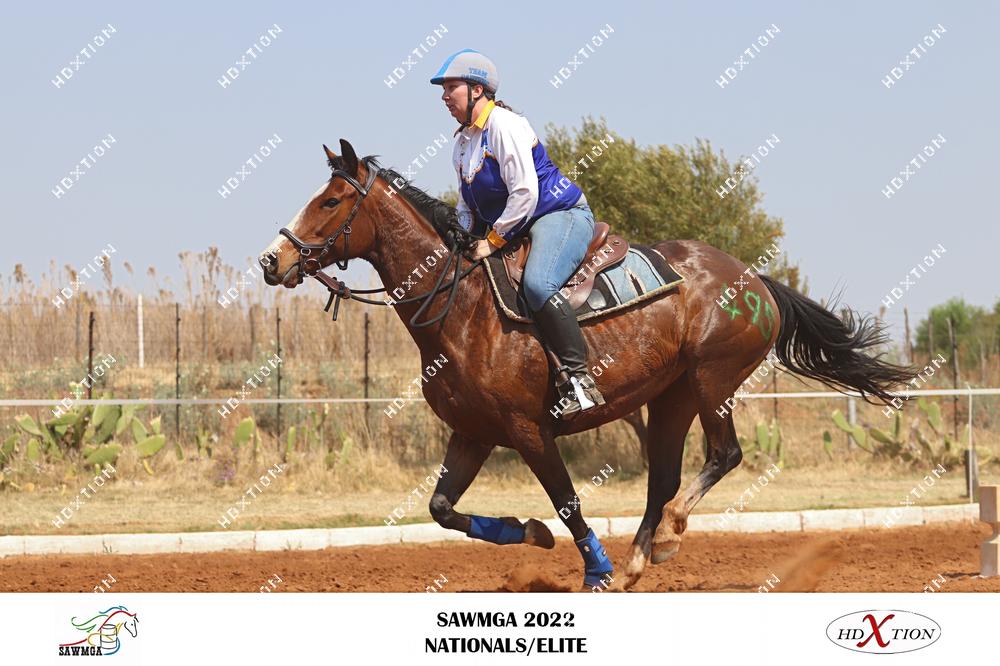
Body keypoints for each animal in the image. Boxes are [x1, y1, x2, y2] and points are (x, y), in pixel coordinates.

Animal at [259, 139, 911, 591]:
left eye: (331, 200)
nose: (273, 259)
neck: (461, 304)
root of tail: (754, 281)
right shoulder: (472, 432)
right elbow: (442, 509)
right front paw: (529, 533)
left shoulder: (528, 430)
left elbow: (566, 499)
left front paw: (592, 568)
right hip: (671, 396)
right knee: (663, 477)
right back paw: (639, 560)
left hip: (713, 381)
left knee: (722, 456)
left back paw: (665, 537)